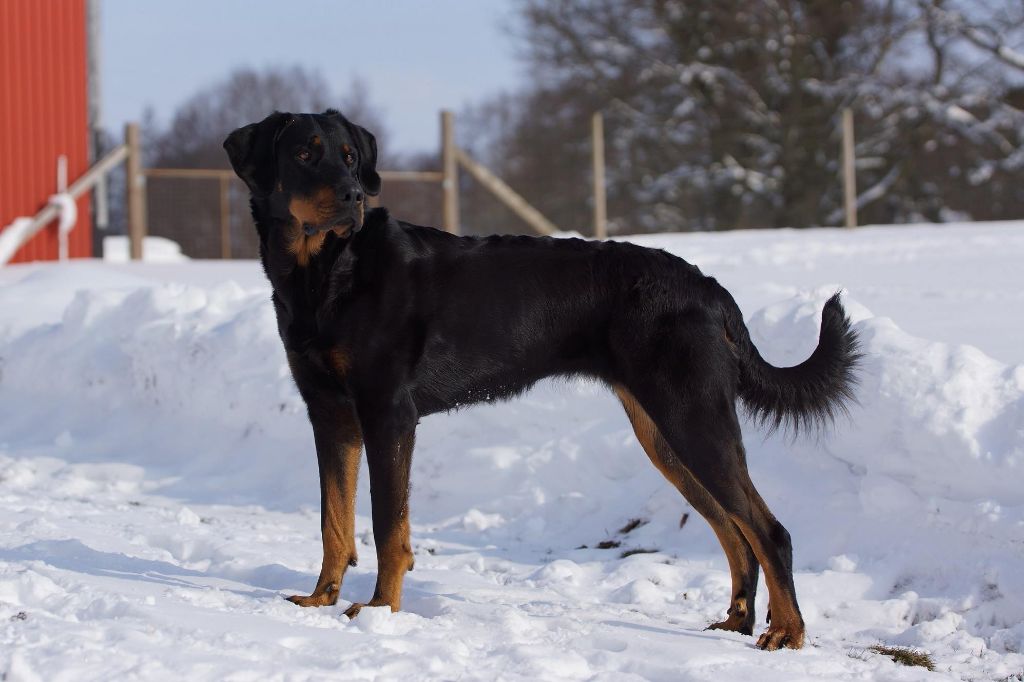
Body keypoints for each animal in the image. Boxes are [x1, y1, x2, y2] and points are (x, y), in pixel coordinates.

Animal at [226, 110, 864, 647]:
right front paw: (320, 600)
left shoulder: (388, 413)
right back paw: (736, 623)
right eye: (305, 154)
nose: (354, 197)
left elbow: (388, 527)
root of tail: (710, 288)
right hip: (664, 434)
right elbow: (334, 521)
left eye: (350, 157)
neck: (327, 272)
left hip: (693, 419)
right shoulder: (330, 414)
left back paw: (786, 634)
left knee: (767, 530)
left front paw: (380, 612)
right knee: (736, 534)